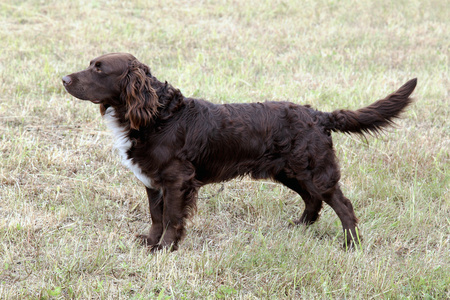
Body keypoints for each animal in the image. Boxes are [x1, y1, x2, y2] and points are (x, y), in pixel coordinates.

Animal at [61, 53, 416, 251]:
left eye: (99, 69)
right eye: (90, 64)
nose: (63, 78)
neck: (158, 116)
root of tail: (317, 115)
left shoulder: (177, 181)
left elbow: (173, 218)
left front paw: (165, 249)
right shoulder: (152, 181)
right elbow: (156, 216)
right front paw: (150, 242)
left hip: (314, 170)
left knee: (343, 205)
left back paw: (351, 245)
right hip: (289, 171)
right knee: (313, 201)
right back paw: (299, 227)